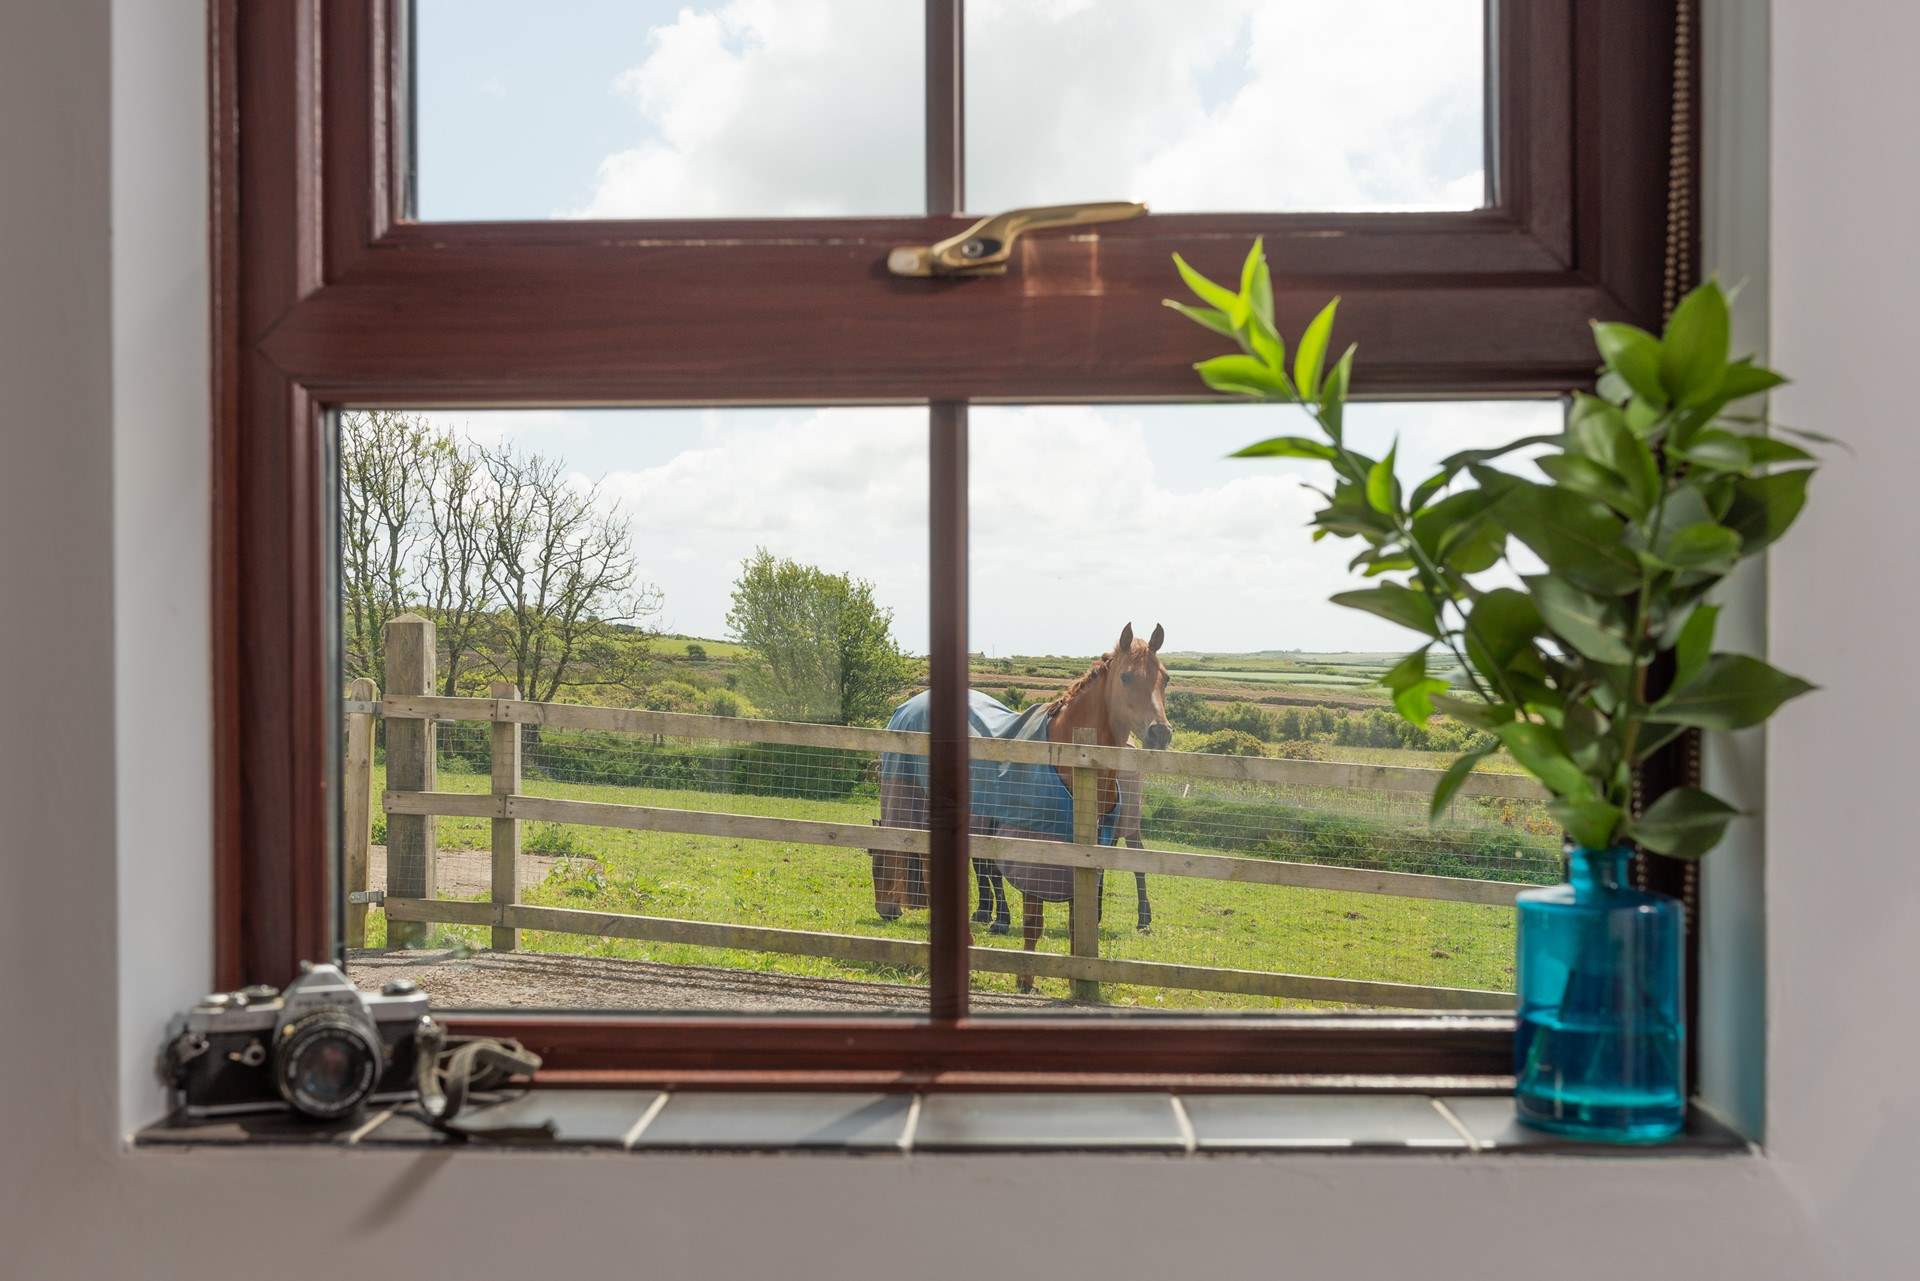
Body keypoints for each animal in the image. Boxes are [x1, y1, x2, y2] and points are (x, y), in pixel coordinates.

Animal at [870, 623, 1171, 992]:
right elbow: (1032, 920)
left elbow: (1076, 920)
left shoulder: (1086, 854)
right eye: (1127, 677)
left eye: (1165, 678)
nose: (1160, 733)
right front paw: (1025, 977)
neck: (1070, 755)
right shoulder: (1031, 850)